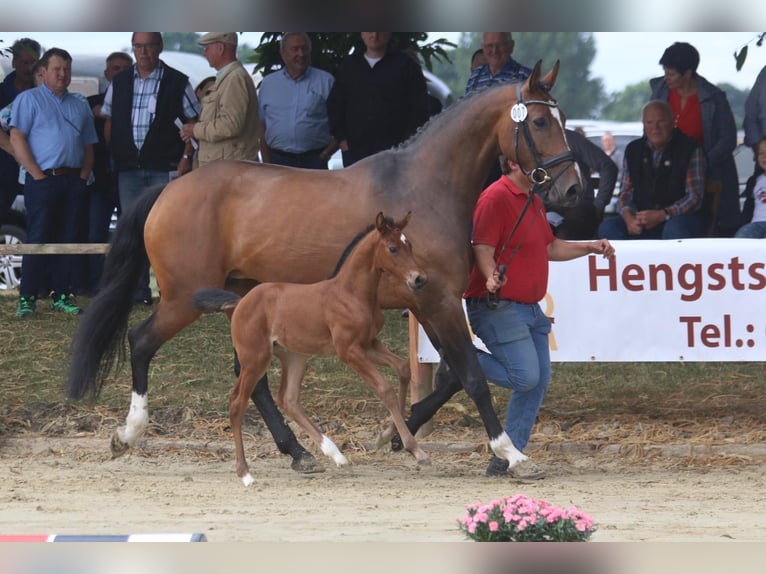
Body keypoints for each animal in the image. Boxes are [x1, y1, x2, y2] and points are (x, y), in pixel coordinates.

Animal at [194, 213, 432, 486]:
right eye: (393, 248)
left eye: (409, 245)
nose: (419, 279)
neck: (351, 293)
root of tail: (240, 301)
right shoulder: (349, 351)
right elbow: (385, 389)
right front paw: (417, 451)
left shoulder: (369, 344)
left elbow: (403, 369)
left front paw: (385, 436)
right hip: (255, 359)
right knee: (237, 402)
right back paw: (245, 473)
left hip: (294, 357)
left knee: (288, 399)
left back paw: (336, 455)